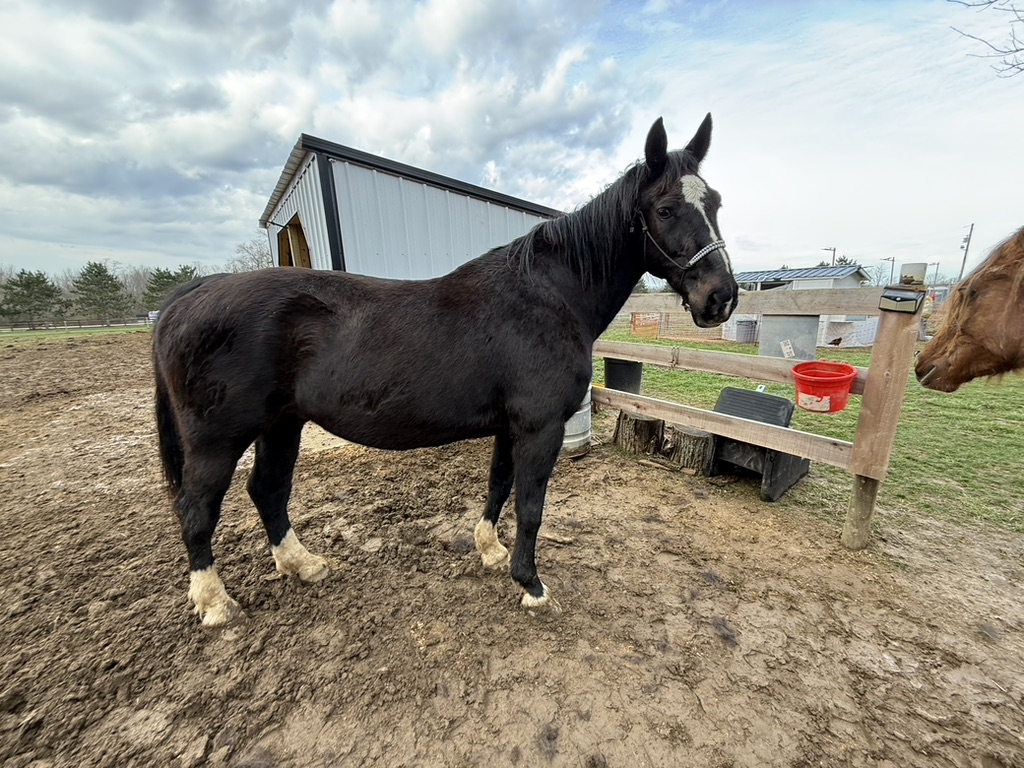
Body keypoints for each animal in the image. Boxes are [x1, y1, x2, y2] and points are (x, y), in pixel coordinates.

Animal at [153, 115, 739, 626]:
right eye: (666, 209)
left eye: (714, 201)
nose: (722, 298)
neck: (549, 296)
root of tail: (192, 293)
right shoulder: (540, 427)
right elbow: (530, 506)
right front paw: (531, 585)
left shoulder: (510, 426)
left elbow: (499, 486)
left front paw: (491, 552)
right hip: (218, 440)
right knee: (196, 512)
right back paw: (216, 606)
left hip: (281, 424)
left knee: (268, 490)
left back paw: (303, 565)